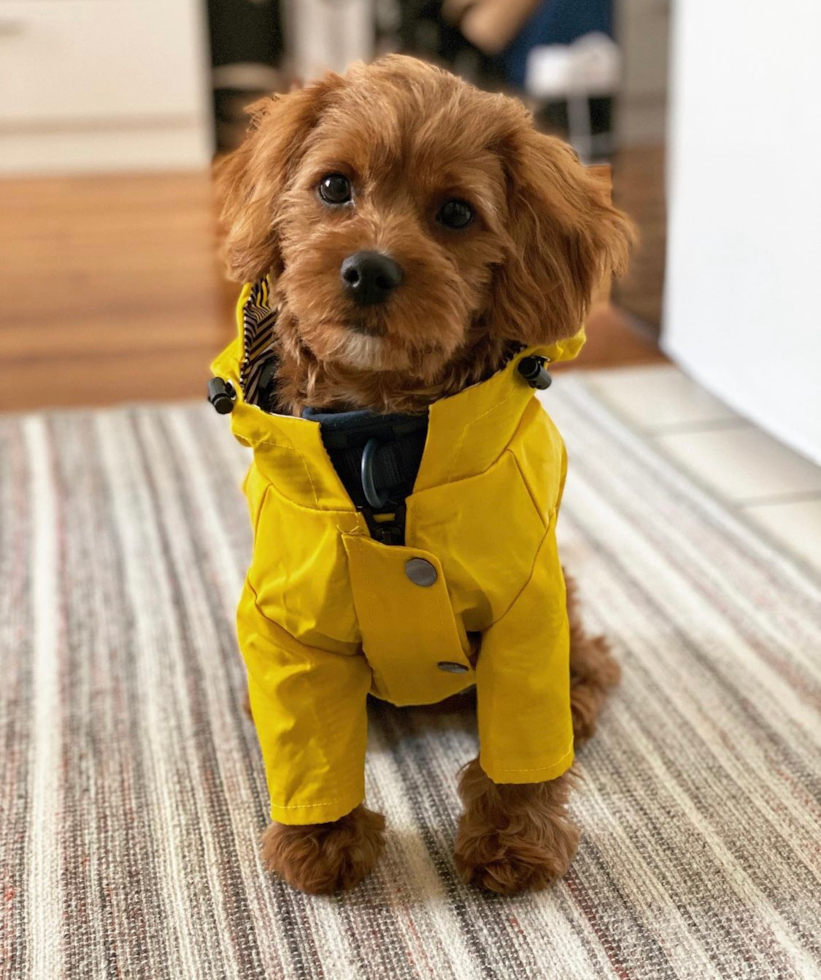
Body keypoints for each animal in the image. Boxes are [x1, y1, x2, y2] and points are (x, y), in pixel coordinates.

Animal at [213, 55, 636, 896]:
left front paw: (511, 845)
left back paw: (579, 698)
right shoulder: (285, 624)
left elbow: (519, 741)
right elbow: (308, 741)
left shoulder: (525, 610)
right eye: (334, 186)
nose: (368, 270)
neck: (380, 439)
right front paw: (320, 843)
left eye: (455, 213)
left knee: (588, 658)